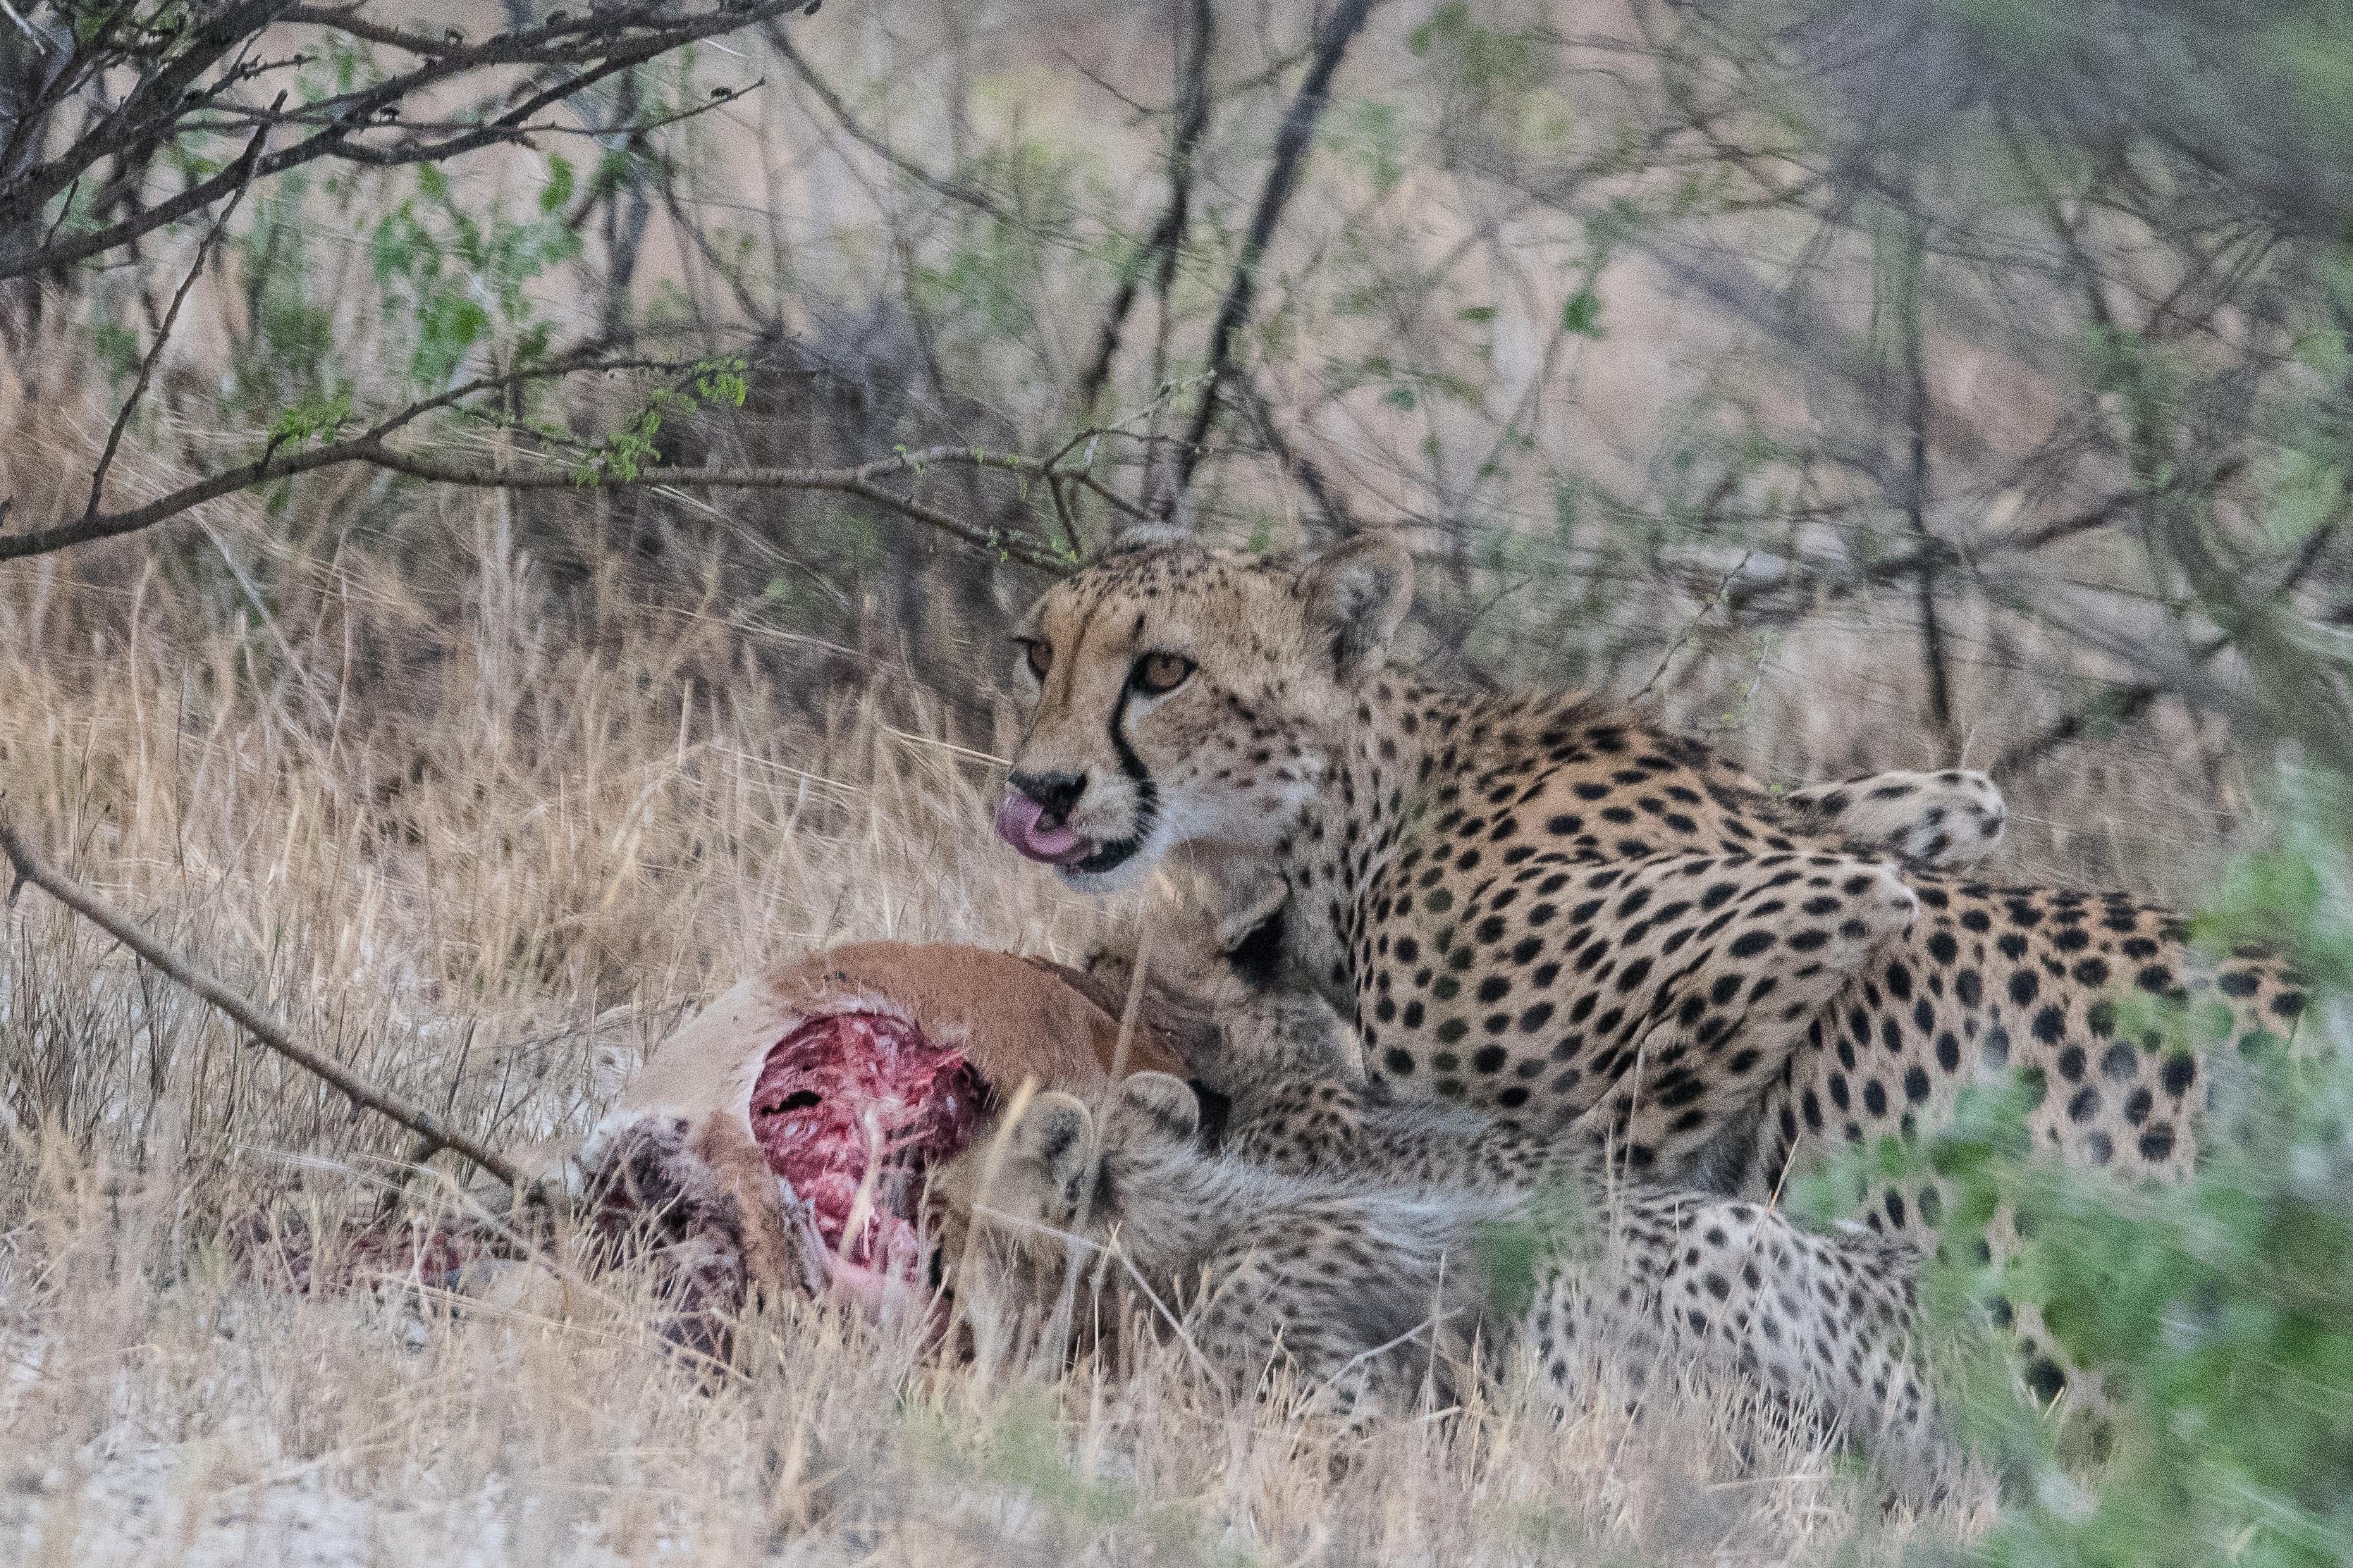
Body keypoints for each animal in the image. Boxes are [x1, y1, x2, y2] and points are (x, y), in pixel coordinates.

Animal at [1002, 541, 2306, 1410]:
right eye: (1036, 652)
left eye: (1164, 671)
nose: (1039, 789)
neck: (1352, 821)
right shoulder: (1923, 811)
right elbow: (1941, 807)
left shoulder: (1815, 903)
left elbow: (1583, 1172)